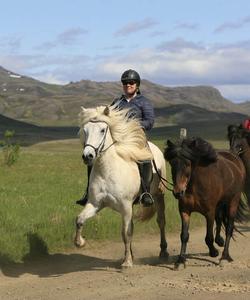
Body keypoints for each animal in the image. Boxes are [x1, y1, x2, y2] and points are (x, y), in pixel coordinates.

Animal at [73, 105, 168, 268]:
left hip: (158, 195)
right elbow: (79, 220)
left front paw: (127, 262)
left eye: (102, 130)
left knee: (161, 221)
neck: (107, 171)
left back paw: (163, 252)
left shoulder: (125, 206)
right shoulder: (95, 204)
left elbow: (126, 233)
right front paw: (80, 243)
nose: (88, 156)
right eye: (85, 130)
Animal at [165, 137, 249, 268]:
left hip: (233, 202)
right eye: (172, 163)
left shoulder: (209, 212)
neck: (195, 186)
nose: (178, 192)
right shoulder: (184, 211)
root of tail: (234, 156)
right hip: (220, 204)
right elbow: (184, 235)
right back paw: (220, 241)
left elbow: (208, 237)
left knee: (229, 228)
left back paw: (224, 257)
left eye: (187, 164)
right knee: (219, 219)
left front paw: (214, 252)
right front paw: (180, 261)